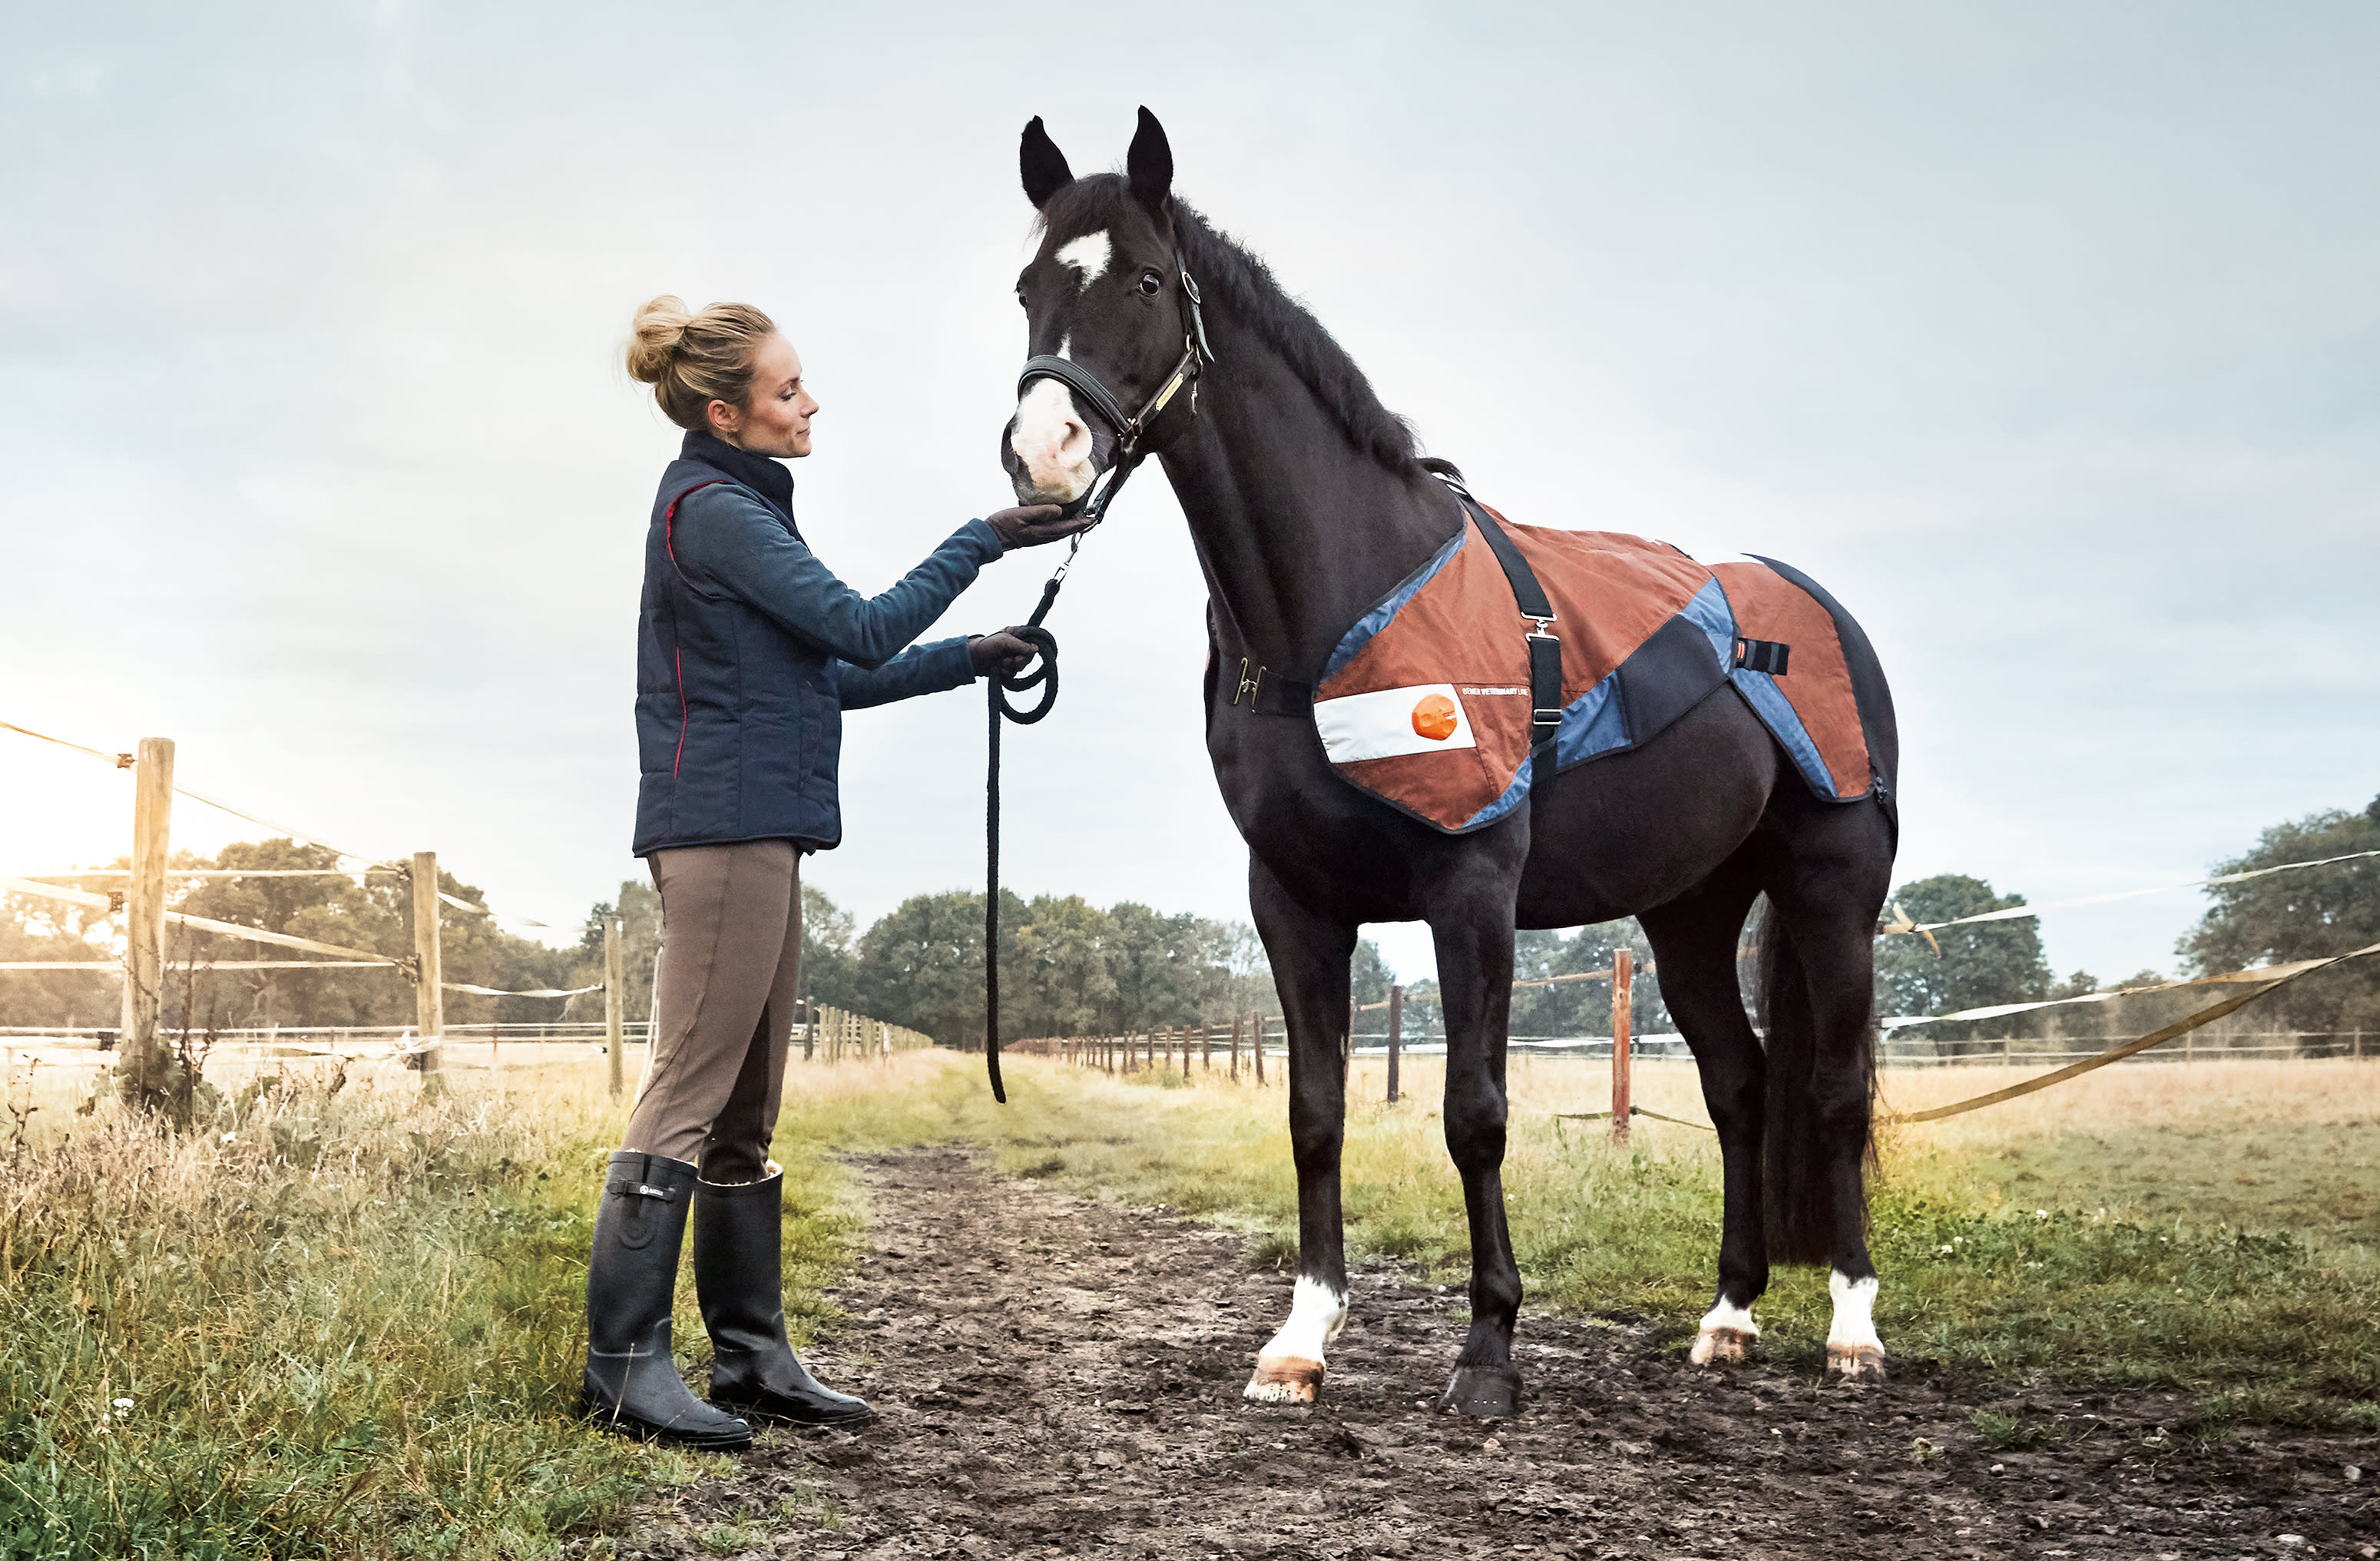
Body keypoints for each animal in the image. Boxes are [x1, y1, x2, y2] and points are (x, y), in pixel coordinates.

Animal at [998, 108, 1900, 1418]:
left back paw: (1851, 1329)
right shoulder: (1293, 901)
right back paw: (1727, 1315)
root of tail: (1815, 610)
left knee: (1828, 1089)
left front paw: (1486, 1354)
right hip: (1689, 910)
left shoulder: (1468, 890)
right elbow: (1313, 1113)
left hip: (1832, 891)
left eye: (1147, 282)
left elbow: (1474, 1114)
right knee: (1737, 1084)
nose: (1044, 455)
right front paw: (1300, 1340)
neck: (1333, 606)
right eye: (1027, 288)